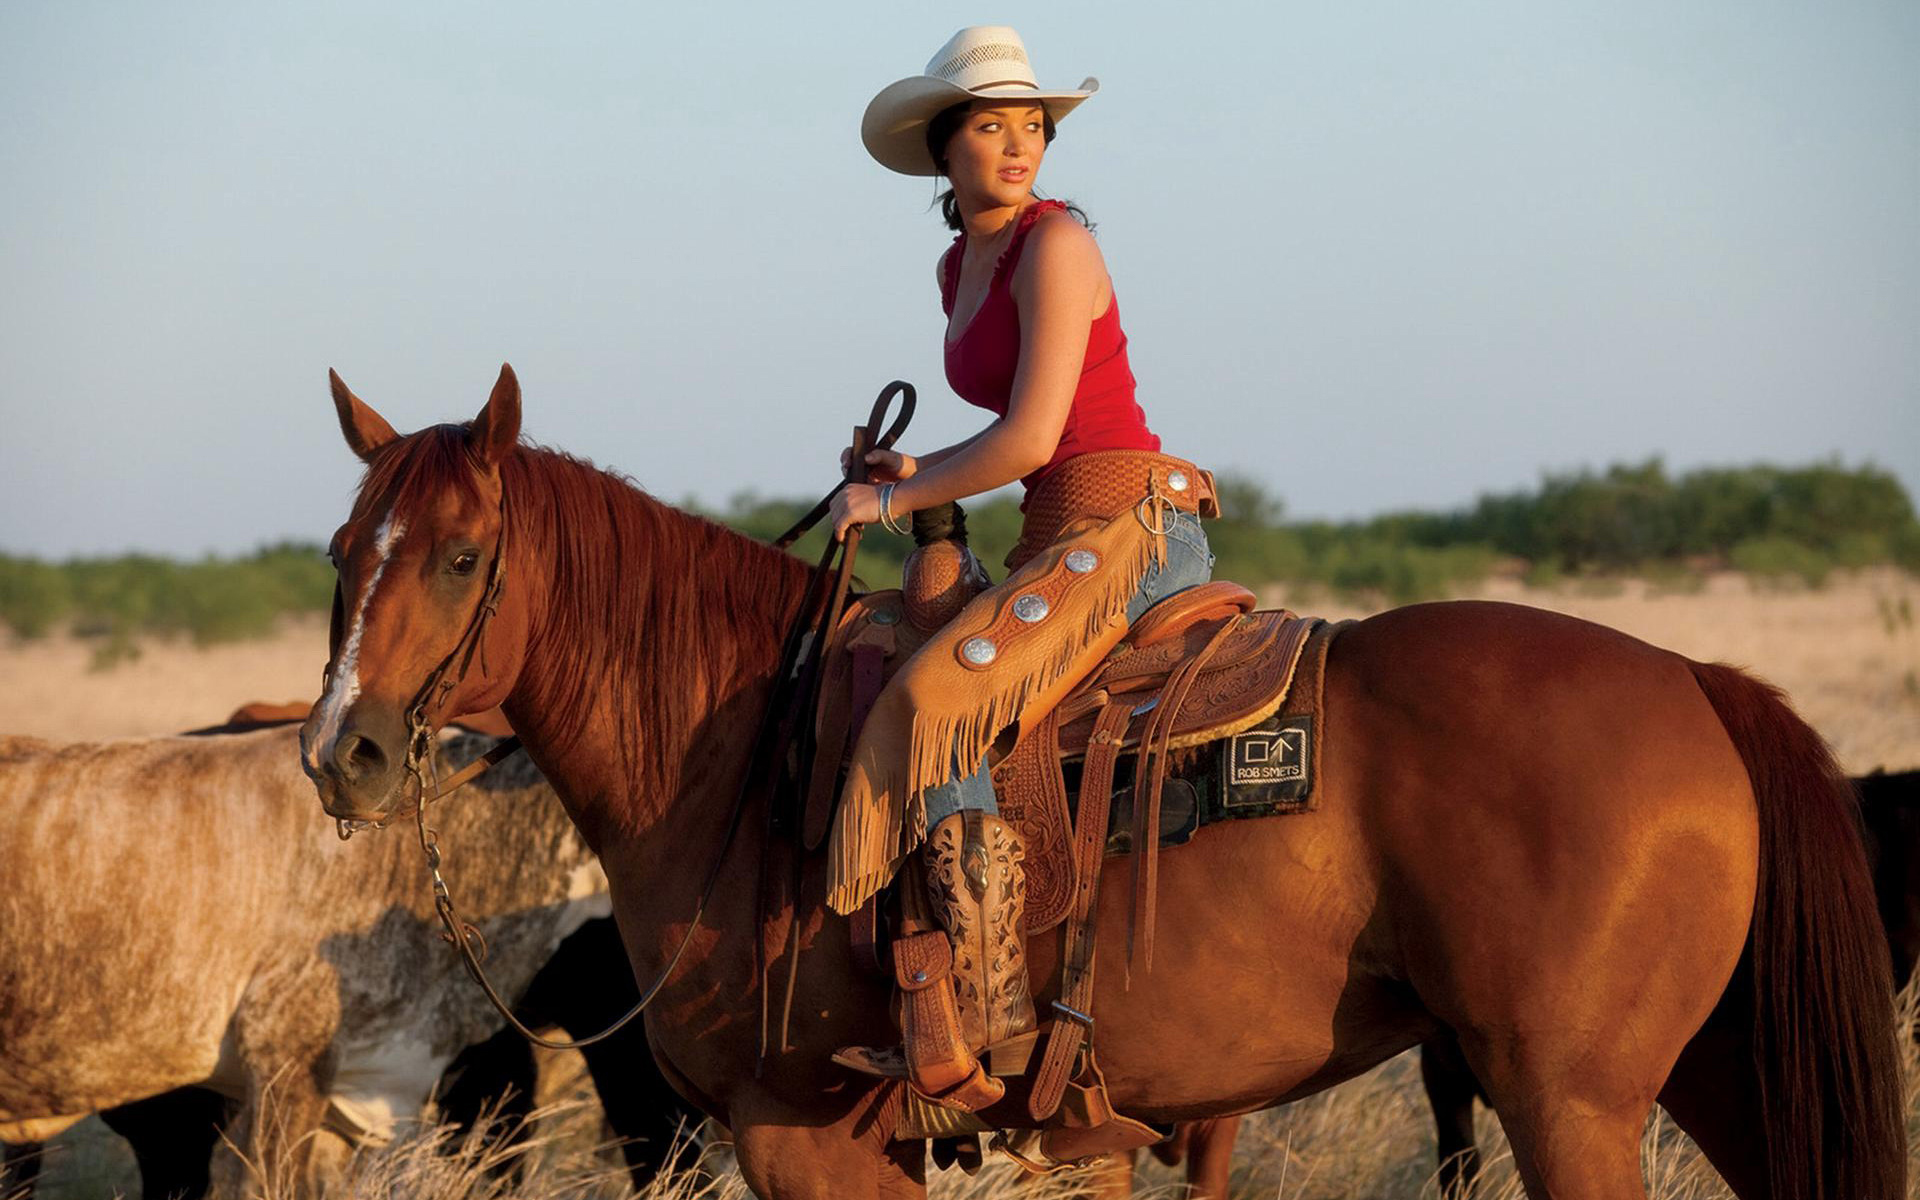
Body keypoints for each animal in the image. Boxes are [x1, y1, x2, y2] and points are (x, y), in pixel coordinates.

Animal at [303, 364, 1904, 1198]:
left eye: (460, 556)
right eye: (338, 553)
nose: (343, 750)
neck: (739, 758)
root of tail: (1695, 680)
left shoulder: (799, 1132)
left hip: (1568, 1098)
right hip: (1702, 1074)